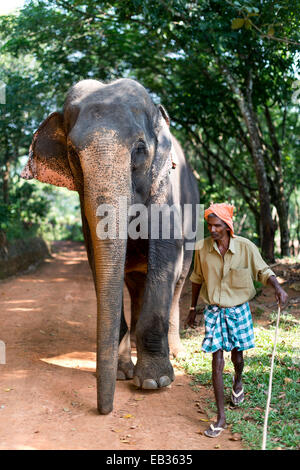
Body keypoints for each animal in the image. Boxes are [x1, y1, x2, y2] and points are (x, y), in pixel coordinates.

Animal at [20, 78, 199, 414]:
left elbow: (166, 253)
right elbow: (96, 257)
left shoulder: (165, 187)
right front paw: (120, 373)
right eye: (72, 153)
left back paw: (176, 354)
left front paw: (154, 382)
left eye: (140, 149)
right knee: (135, 284)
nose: (104, 410)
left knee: (178, 279)